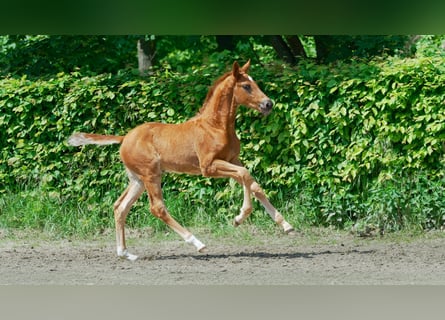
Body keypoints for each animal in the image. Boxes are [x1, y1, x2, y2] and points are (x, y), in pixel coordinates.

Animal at [67, 60, 294, 260]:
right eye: (246, 86)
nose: (268, 104)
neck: (215, 126)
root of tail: (124, 138)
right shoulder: (209, 167)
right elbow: (245, 175)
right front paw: (239, 218)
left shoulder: (232, 160)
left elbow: (253, 184)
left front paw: (286, 225)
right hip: (151, 175)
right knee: (157, 208)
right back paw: (197, 243)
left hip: (138, 179)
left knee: (120, 207)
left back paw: (126, 253)